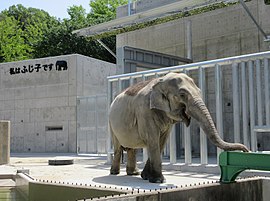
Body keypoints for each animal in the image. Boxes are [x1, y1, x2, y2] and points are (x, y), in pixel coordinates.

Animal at [108, 72, 249, 184]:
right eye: (182, 95)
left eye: (199, 92)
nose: (246, 150)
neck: (160, 80)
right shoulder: (144, 111)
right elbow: (153, 141)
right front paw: (158, 181)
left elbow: (161, 142)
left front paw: (146, 177)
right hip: (111, 124)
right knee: (118, 148)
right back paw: (114, 173)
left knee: (131, 149)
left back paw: (134, 174)